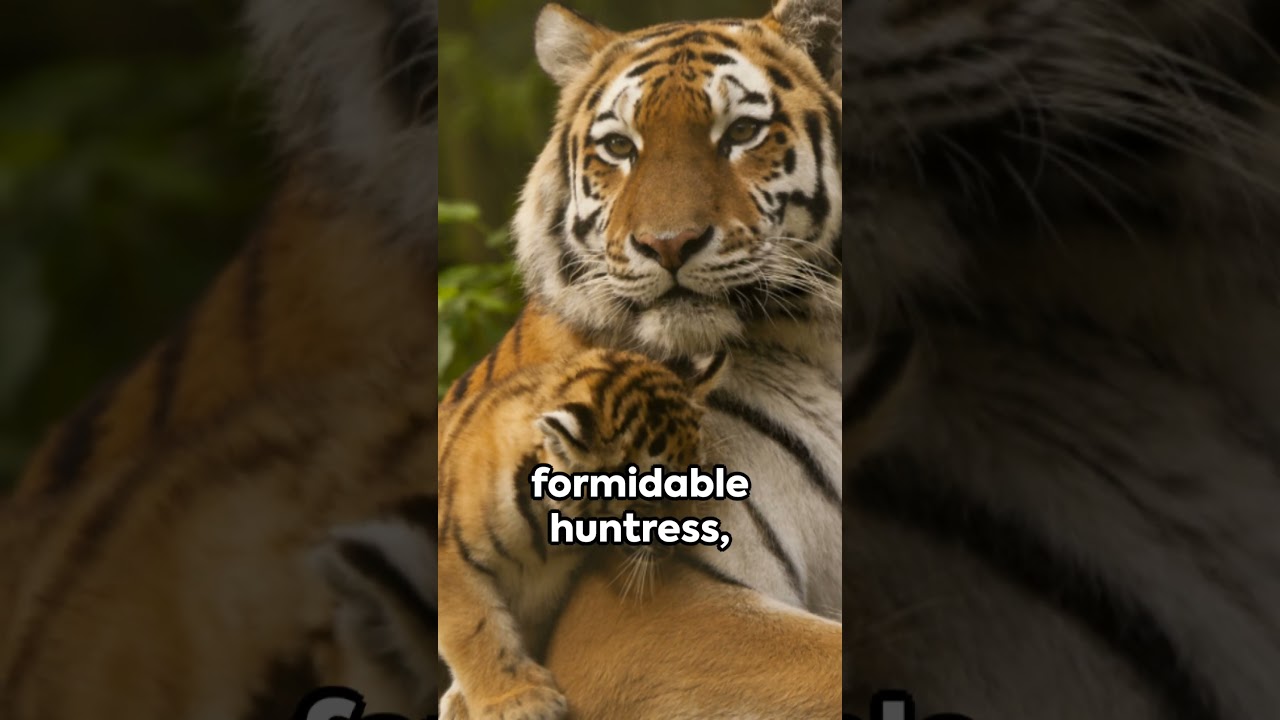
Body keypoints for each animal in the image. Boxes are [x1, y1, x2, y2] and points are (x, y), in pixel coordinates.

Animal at [437, 348, 724, 720]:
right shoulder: (454, 557)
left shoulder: (545, 583)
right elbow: (478, 629)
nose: (681, 544)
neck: (546, 531)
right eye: (652, 493)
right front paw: (518, 701)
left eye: (696, 476)